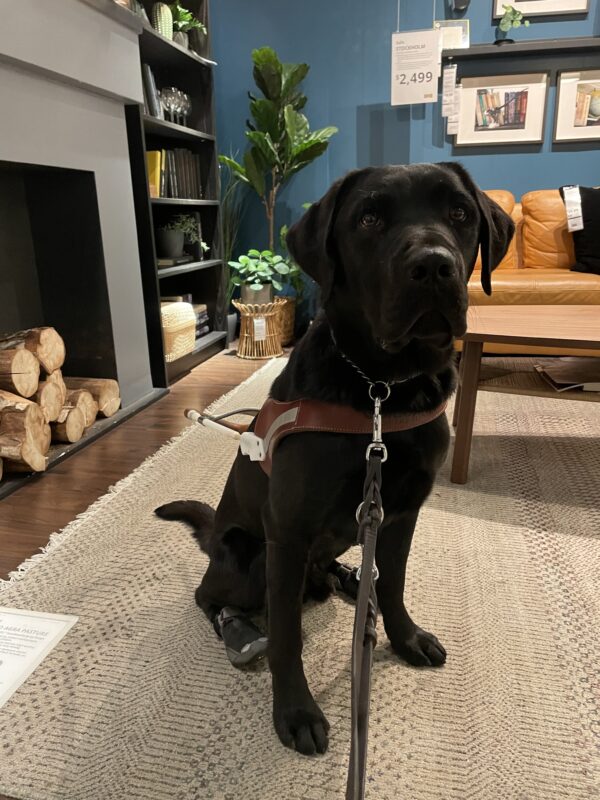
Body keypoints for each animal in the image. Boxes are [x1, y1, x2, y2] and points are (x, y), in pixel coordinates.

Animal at [155, 161, 510, 756]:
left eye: (460, 212)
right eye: (368, 218)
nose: (434, 265)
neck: (382, 389)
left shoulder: (402, 512)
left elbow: (392, 582)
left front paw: (405, 637)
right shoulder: (288, 529)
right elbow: (287, 637)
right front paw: (295, 711)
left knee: (337, 570)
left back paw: (344, 578)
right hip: (249, 557)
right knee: (214, 596)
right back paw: (243, 625)